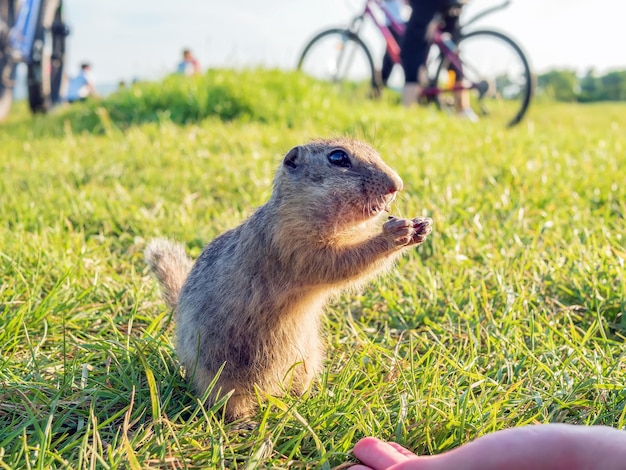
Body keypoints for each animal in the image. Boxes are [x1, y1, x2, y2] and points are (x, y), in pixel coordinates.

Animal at [144, 138, 432, 420]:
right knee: (228, 403)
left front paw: (421, 227)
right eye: (338, 158)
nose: (397, 185)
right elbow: (338, 262)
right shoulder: (292, 244)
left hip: (306, 362)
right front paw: (394, 233)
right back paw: (244, 423)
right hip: (223, 377)